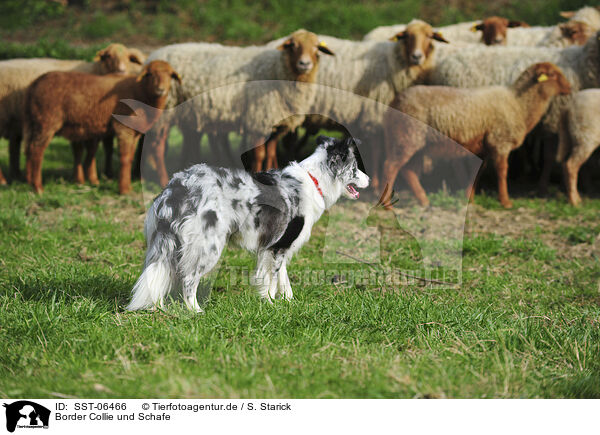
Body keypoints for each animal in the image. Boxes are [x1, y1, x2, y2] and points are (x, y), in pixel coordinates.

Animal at [22, 59, 180, 194]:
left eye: (170, 75)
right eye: (150, 74)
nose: (160, 89)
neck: (140, 93)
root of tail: (36, 83)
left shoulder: (134, 132)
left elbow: (129, 158)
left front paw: (127, 186)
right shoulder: (123, 128)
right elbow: (124, 158)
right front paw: (124, 190)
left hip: (34, 122)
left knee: (29, 148)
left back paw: (29, 181)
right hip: (47, 121)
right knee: (37, 150)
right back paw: (38, 187)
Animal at [129, 137, 368, 314]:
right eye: (355, 168)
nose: (370, 180)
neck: (314, 179)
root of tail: (179, 186)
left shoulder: (278, 247)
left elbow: (284, 279)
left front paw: (289, 303)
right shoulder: (277, 247)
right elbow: (272, 280)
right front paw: (271, 303)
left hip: (167, 244)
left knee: (158, 276)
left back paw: (159, 308)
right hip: (208, 247)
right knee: (188, 279)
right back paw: (195, 311)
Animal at [144, 28, 336, 182]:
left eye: (316, 48)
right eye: (293, 45)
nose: (305, 64)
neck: (277, 69)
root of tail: (153, 56)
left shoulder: (274, 123)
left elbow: (271, 153)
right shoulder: (257, 119)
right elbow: (260, 154)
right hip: (164, 110)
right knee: (157, 147)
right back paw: (163, 179)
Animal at [382, 62, 568, 209]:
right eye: (553, 74)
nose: (570, 88)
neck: (519, 105)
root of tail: (394, 102)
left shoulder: (484, 148)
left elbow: (476, 172)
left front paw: (469, 199)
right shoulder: (500, 142)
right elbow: (502, 171)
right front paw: (505, 202)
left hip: (415, 142)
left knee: (408, 171)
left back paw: (423, 200)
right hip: (407, 137)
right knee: (391, 166)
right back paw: (387, 205)